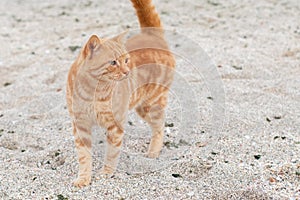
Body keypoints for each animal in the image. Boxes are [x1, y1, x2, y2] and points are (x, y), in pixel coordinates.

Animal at [65, 0, 173, 188]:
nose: (127, 72)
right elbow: (84, 156)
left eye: (126, 60)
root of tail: (151, 34)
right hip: (142, 108)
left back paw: (153, 152)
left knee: (160, 126)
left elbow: (112, 152)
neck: (92, 91)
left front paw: (106, 173)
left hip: (151, 104)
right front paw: (83, 178)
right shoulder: (80, 124)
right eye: (113, 62)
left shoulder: (115, 124)